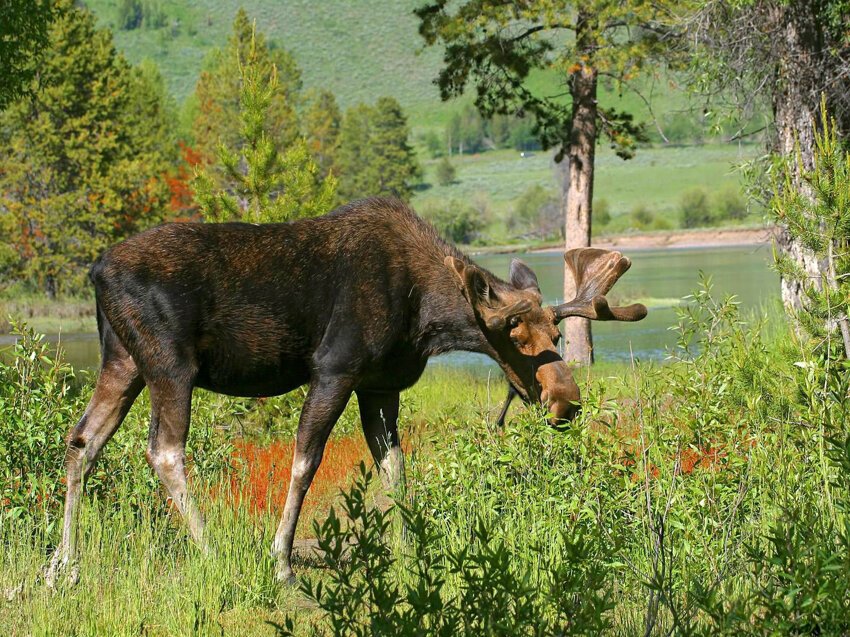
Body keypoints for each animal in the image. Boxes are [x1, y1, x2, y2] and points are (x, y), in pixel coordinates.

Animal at [44, 196, 644, 584]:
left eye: (557, 336)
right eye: (514, 336)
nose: (566, 401)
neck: (426, 319)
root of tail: (95, 271)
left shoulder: (381, 386)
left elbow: (394, 466)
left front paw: (410, 548)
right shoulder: (335, 368)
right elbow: (305, 461)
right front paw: (281, 561)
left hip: (123, 361)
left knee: (83, 442)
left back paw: (64, 563)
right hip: (170, 364)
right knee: (164, 450)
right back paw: (210, 548)